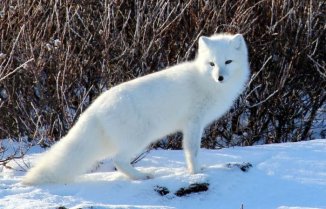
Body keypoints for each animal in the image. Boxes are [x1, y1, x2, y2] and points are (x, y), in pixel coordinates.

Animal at [22, 32, 251, 185]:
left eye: (228, 62)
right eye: (211, 64)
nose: (220, 77)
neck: (205, 81)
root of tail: (95, 106)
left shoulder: (192, 124)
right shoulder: (194, 122)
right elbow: (192, 151)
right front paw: (197, 173)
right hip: (139, 138)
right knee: (118, 160)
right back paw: (142, 176)